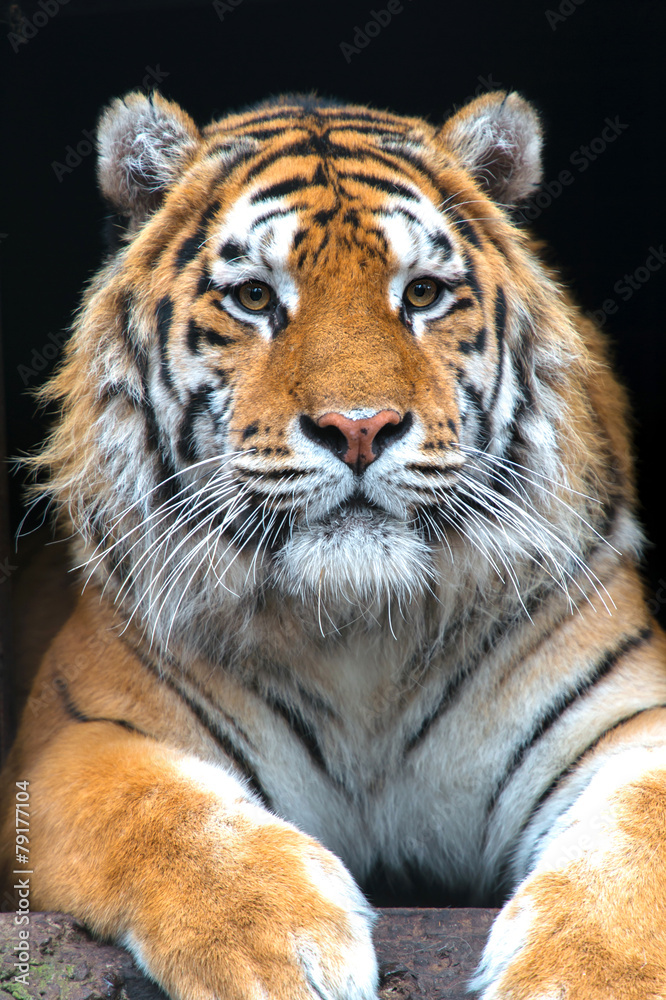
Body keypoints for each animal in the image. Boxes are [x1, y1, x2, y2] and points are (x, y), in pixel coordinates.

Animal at [2, 87, 666, 1000]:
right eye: (253, 297)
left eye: (422, 293)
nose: (359, 428)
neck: (360, 633)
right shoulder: (73, 739)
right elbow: (162, 811)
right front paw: (275, 942)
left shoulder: (631, 714)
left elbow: (640, 836)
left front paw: (587, 975)